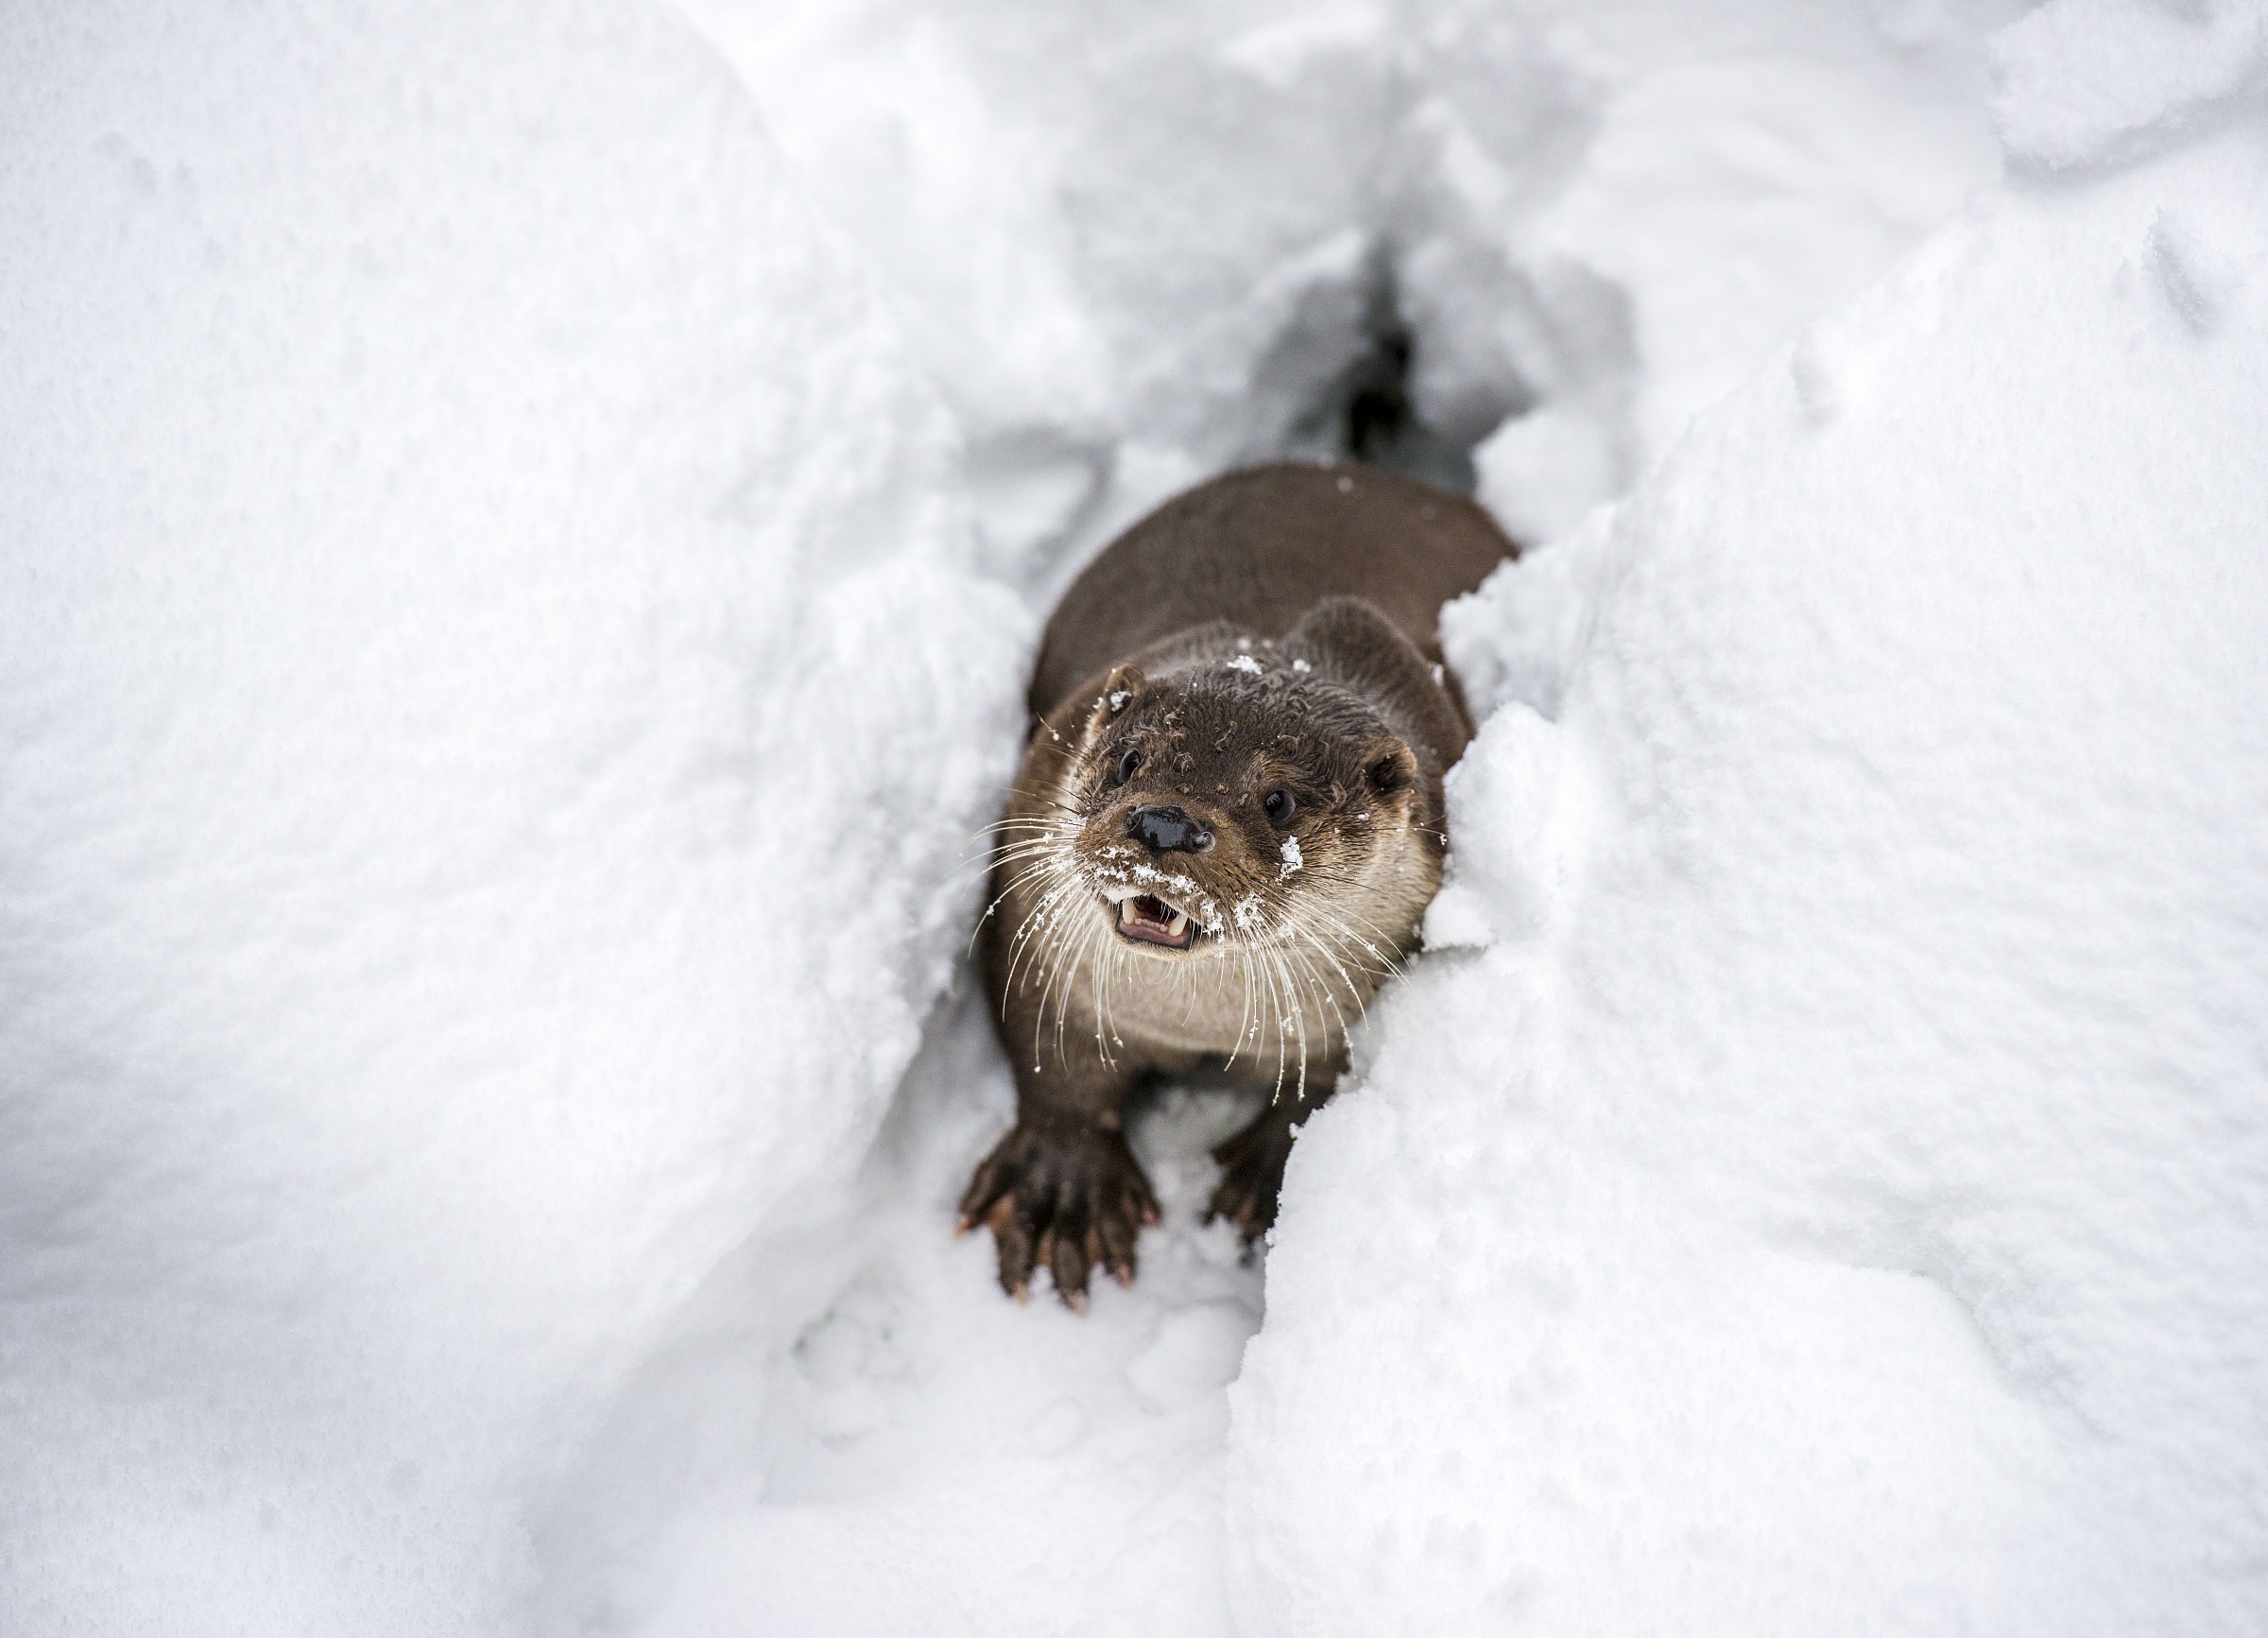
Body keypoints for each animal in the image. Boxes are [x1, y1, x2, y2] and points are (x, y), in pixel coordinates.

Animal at [958, 460, 1518, 1306]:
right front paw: (1063, 1184)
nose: (1164, 823)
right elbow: (1049, 1051)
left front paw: (1266, 1174)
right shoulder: (1029, 922)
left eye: (1278, 799)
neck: (1197, 1023)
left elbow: (1325, 1080)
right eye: (1129, 760)